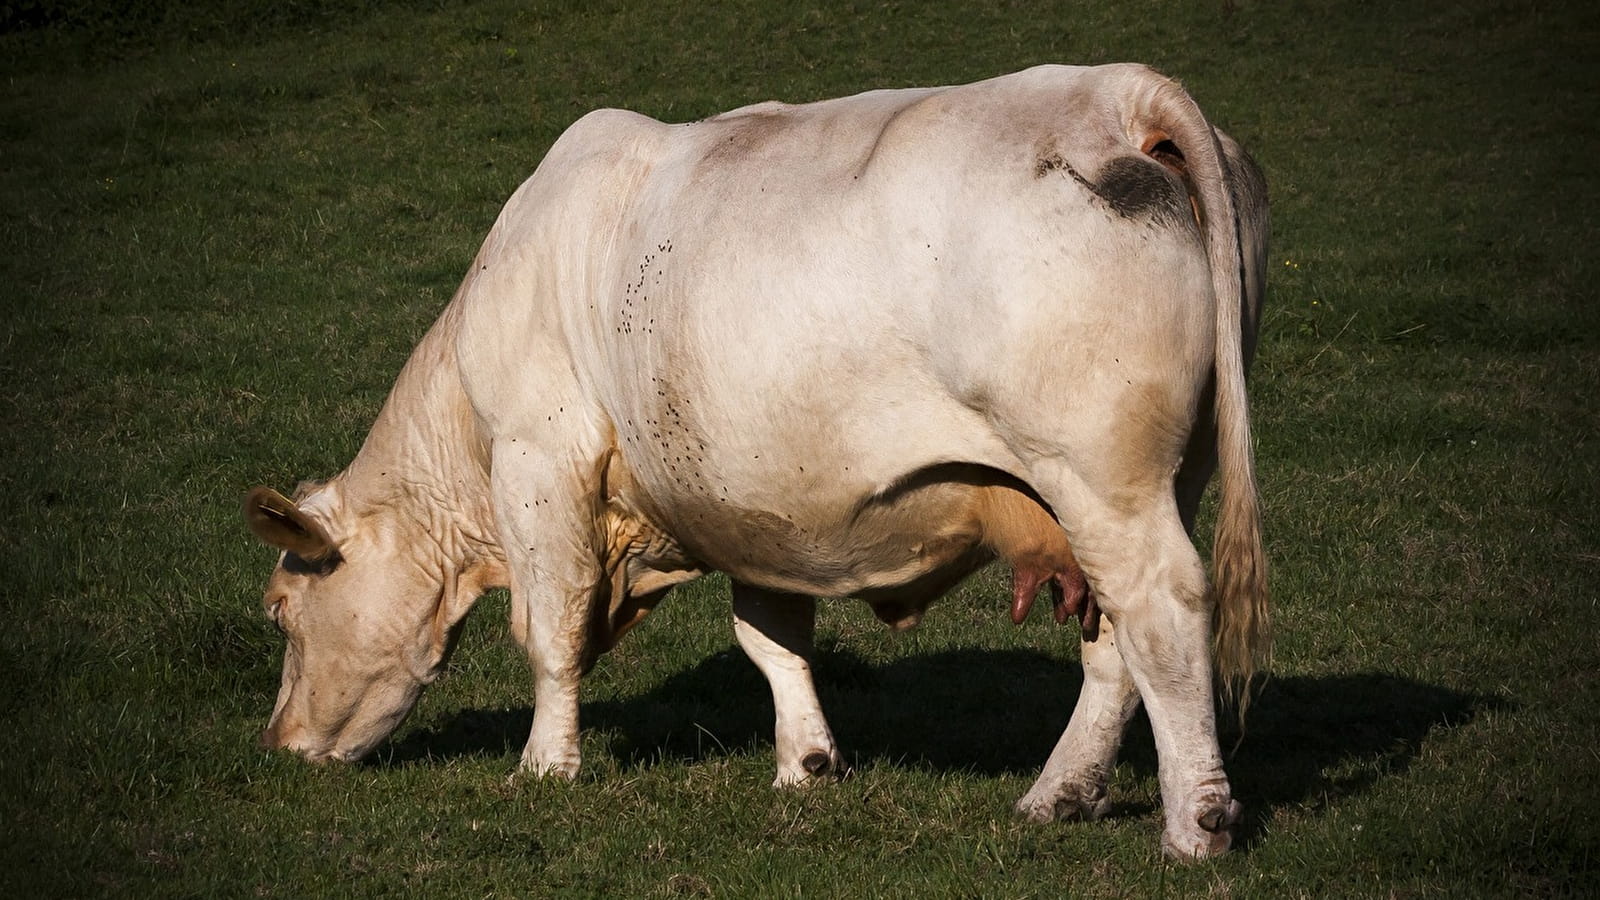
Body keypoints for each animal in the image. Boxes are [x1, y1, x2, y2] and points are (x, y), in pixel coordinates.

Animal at [246, 63, 1273, 851]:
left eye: (280, 610)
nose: (277, 746)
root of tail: (1115, 91)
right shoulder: (759, 508)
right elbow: (771, 638)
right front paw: (807, 764)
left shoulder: (539, 460)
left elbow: (551, 630)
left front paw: (542, 767)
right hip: (1155, 479)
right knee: (1115, 641)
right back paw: (1056, 796)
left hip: (1101, 473)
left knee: (1162, 610)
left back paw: (1195, 825)